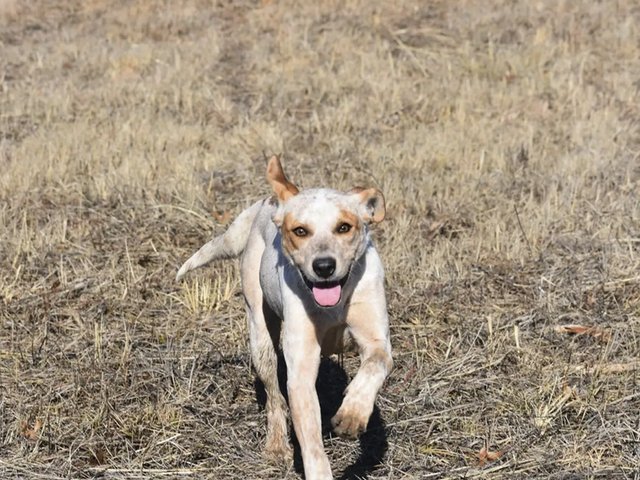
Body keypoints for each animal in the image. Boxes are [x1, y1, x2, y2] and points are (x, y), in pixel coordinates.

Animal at [178, 156, 392, 478]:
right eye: (300, 231)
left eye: (344, 227)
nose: (324, 266)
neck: (332, 304)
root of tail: (268, 203)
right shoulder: (300, 371)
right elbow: (312, 443)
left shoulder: (376, 340)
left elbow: (374, 366)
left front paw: (353, 414)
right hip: (260, 336)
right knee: (274, 396)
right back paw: (277, 445)